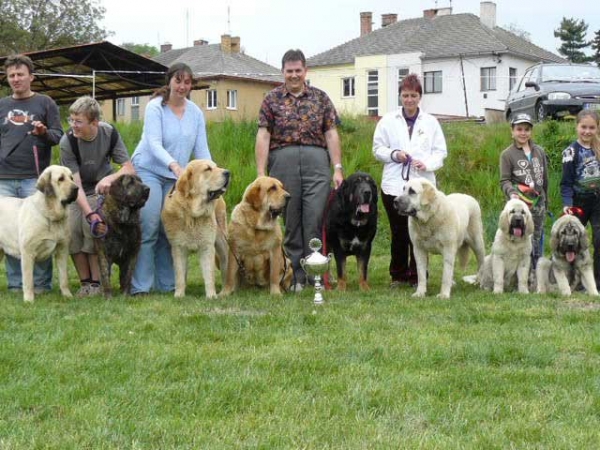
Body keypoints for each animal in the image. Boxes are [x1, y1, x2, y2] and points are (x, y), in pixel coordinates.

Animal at [0, 166, 79, 302]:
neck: (51, 215)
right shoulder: (27, 253)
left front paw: (67, 296)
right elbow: (28, 280)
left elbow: (64, 278)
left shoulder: (62, 250)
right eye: (61, 179)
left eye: (71, 178)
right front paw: (29, 300)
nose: (76, 188)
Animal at [162, 159, 230, 298]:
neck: (192, 214)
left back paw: (225, 290)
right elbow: (179, 274)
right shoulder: (178, 248)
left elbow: (209, 274)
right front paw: (179, 295)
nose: (228, 172)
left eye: (216, 167)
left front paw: (211, 296)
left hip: (221, 241)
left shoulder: (207, 247)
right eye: (207, 169)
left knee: (225, 265)